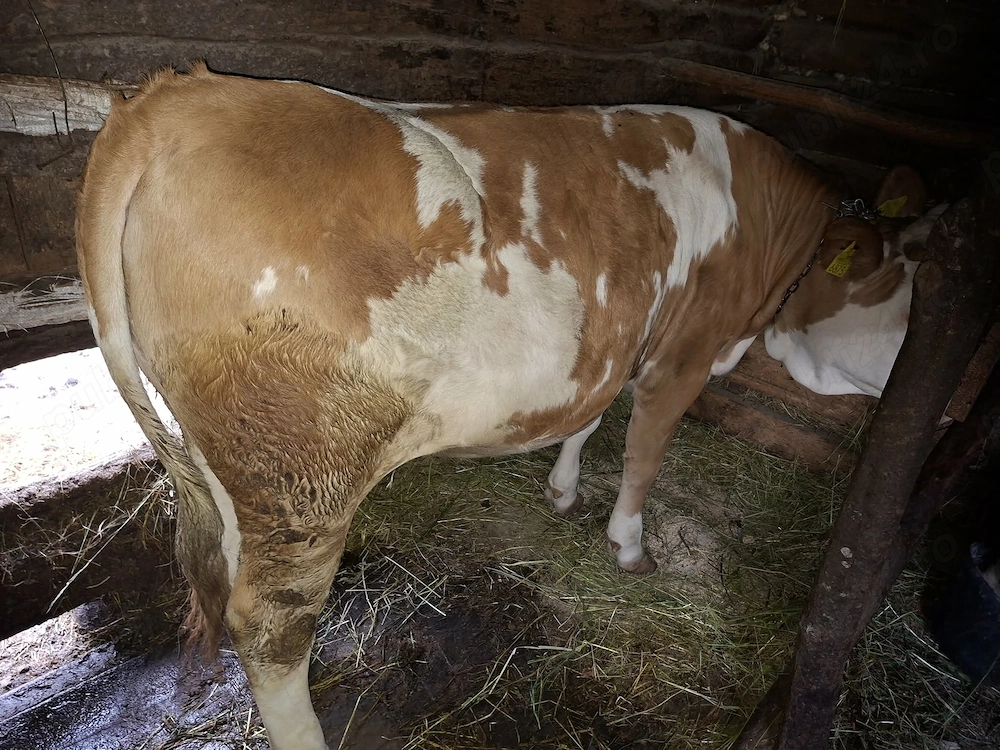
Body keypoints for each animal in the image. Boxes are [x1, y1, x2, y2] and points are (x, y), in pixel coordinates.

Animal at [76, 65, 940, 749]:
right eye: (904, 285)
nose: (937, 395)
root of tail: (174, 100)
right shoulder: (685, 353)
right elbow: (646, 449)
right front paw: (629, 545)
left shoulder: (614, 338)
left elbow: (589, 413)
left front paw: (562, 489)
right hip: (305, 471)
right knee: (271, 631)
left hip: (231, 458)